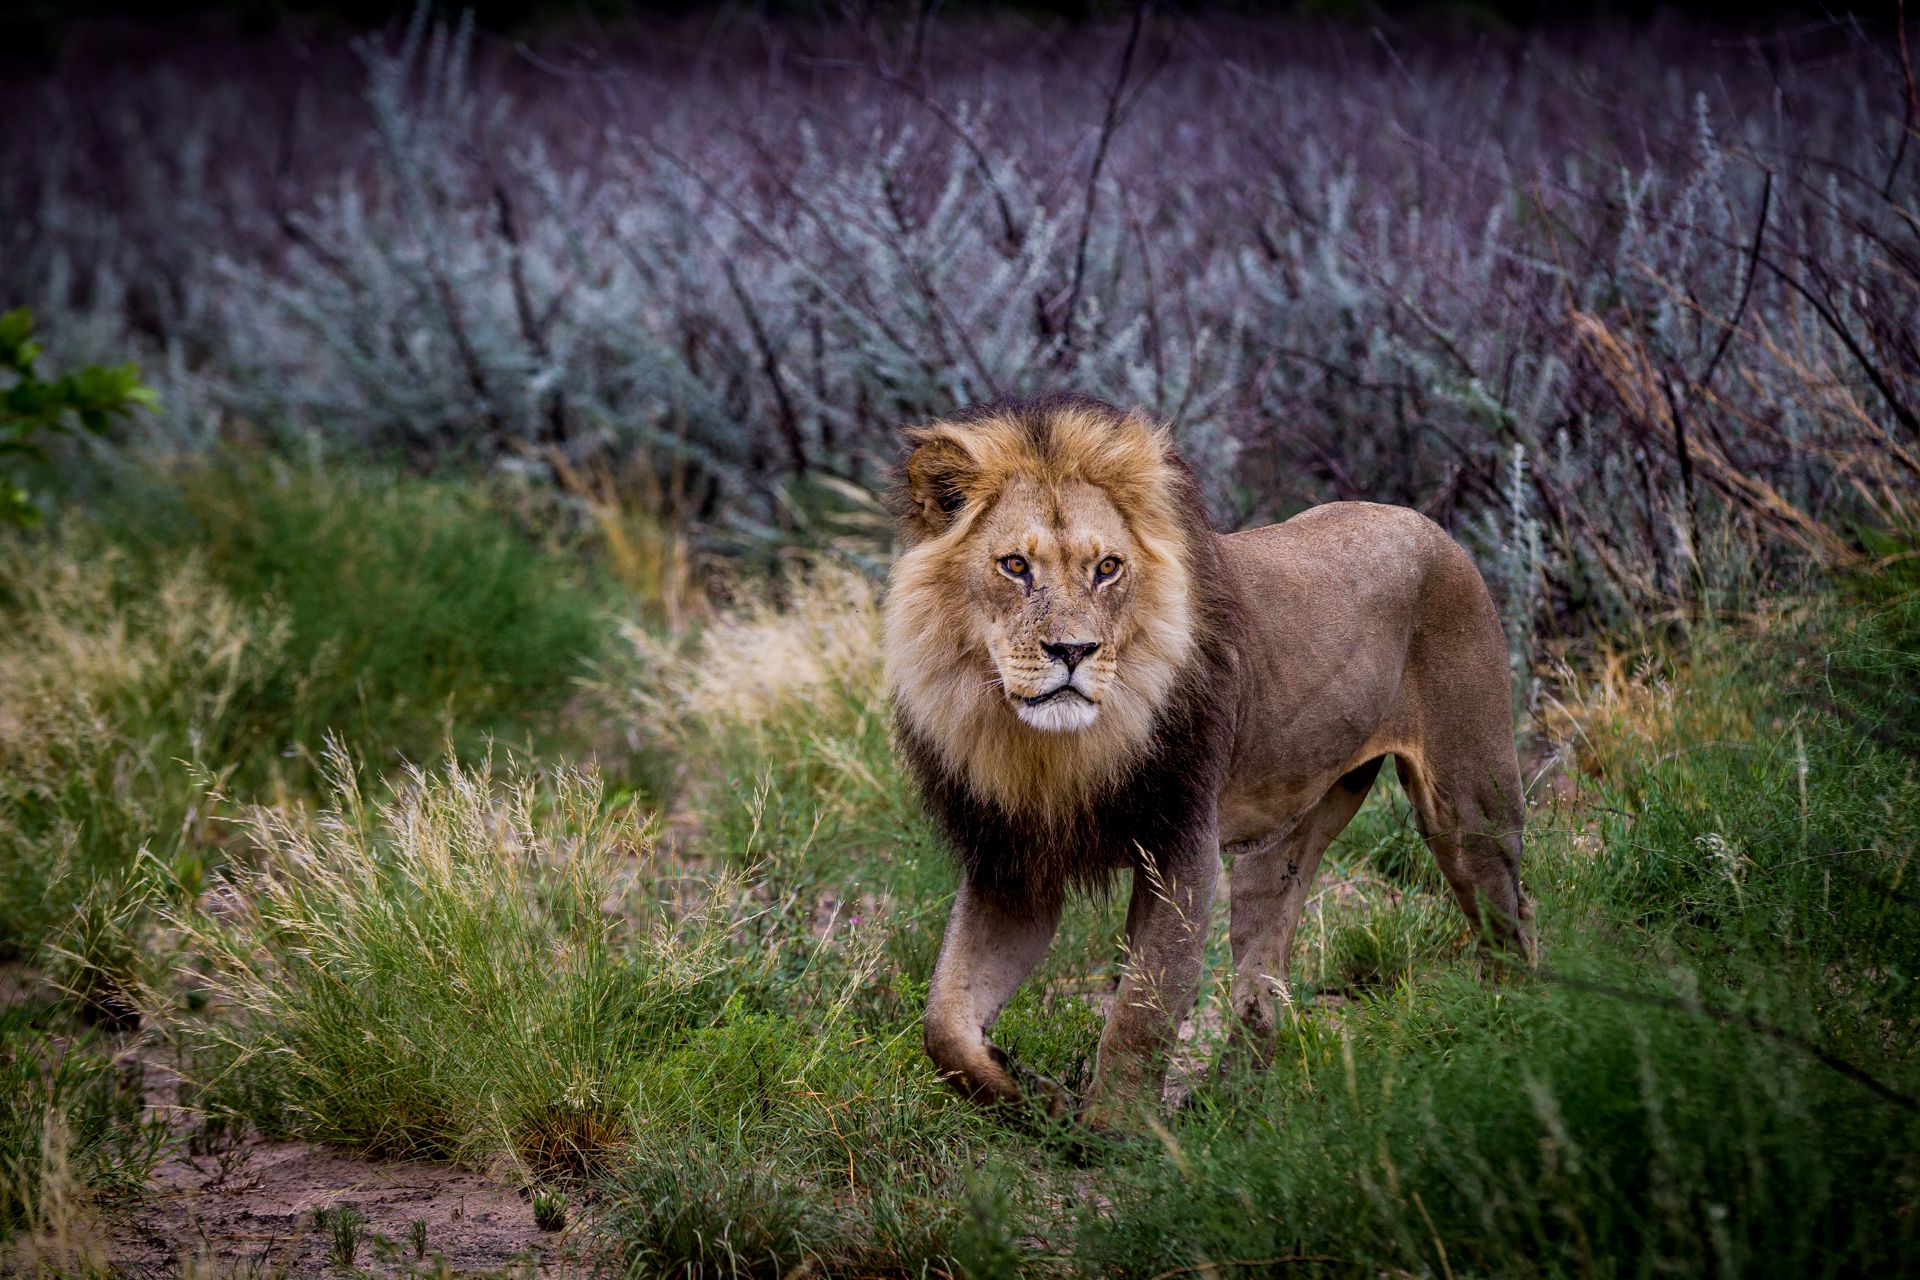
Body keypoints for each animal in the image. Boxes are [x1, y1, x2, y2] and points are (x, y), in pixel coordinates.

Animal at [884, 393, 1532, 1124]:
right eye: (1015, 566)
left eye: (1107, 567)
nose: (1073, 651)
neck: (1050, 749)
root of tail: (1424, 521)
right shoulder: (1012, 866)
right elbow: (944, 1024)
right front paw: (1035, 1095)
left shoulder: (1181, 848)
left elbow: (1141, 1012)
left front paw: (1110, 1130)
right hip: (1280, 846)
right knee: (1264, 976)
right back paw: (1230, 1102)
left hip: (1469, 807)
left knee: (1513, 923)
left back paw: (1513, 1036)